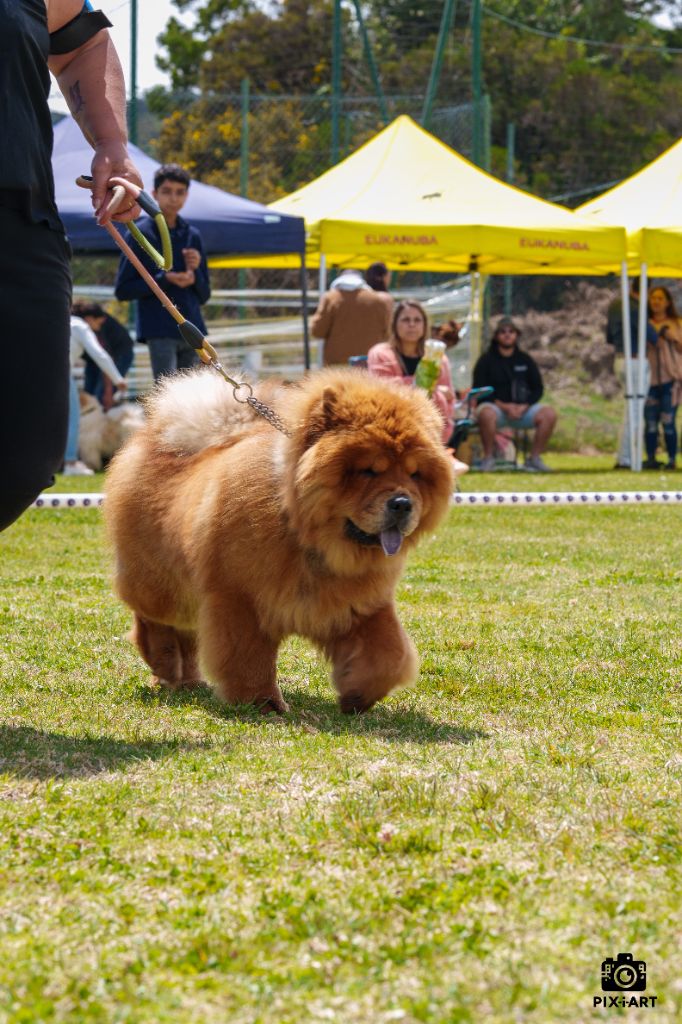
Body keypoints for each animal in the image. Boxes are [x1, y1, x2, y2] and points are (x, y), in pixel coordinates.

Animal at [104, 368, 450, 712]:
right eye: (368, 471)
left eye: (415, 474)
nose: (402, 503)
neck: (308, 539)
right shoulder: (240, 600)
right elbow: (249, 658)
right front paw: (264, 704)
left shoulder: (361, 607)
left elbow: (389, 654)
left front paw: (357, 695)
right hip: (161, 583)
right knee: (154, 622)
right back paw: (164, 666)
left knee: (187, 636)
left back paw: (188, 681)